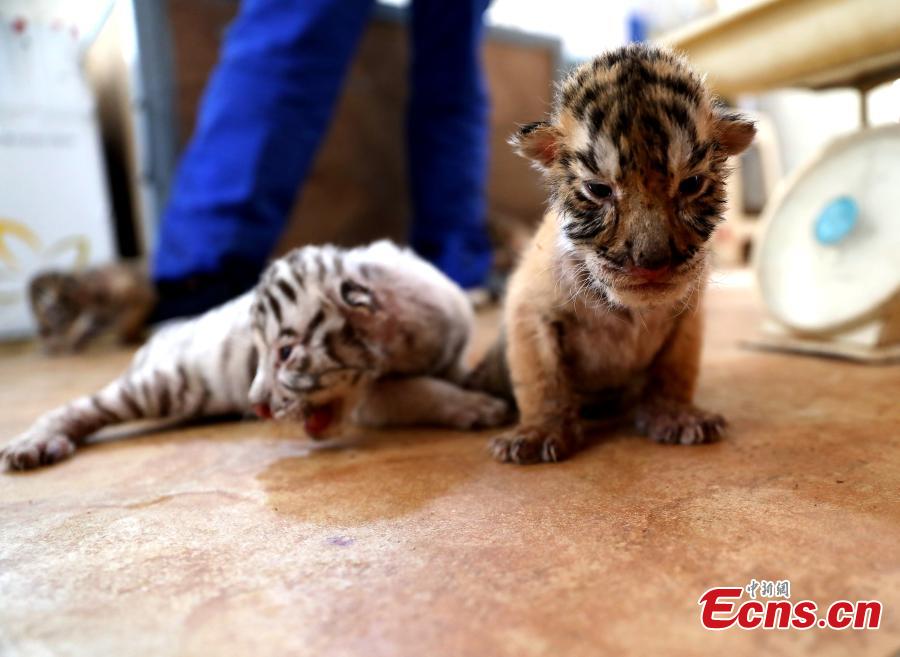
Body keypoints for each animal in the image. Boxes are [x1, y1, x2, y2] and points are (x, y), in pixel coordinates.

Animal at [2, 241, 509, 470]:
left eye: (285, 352)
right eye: (259, 351)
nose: (257, 406)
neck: (410, 337)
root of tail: (158, 337)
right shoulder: (376, 398)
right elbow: (419, 391)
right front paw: (475, 407)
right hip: (158, 386)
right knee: (79, 407)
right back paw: (36, 444)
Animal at [467, 43, 756, 464]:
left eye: (691, 184)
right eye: (599, 190)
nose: (652, 261)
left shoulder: (688, 317)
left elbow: (675, 369)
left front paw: (675, 415)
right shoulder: (530, 308)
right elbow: (541, 377)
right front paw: (539, 433)